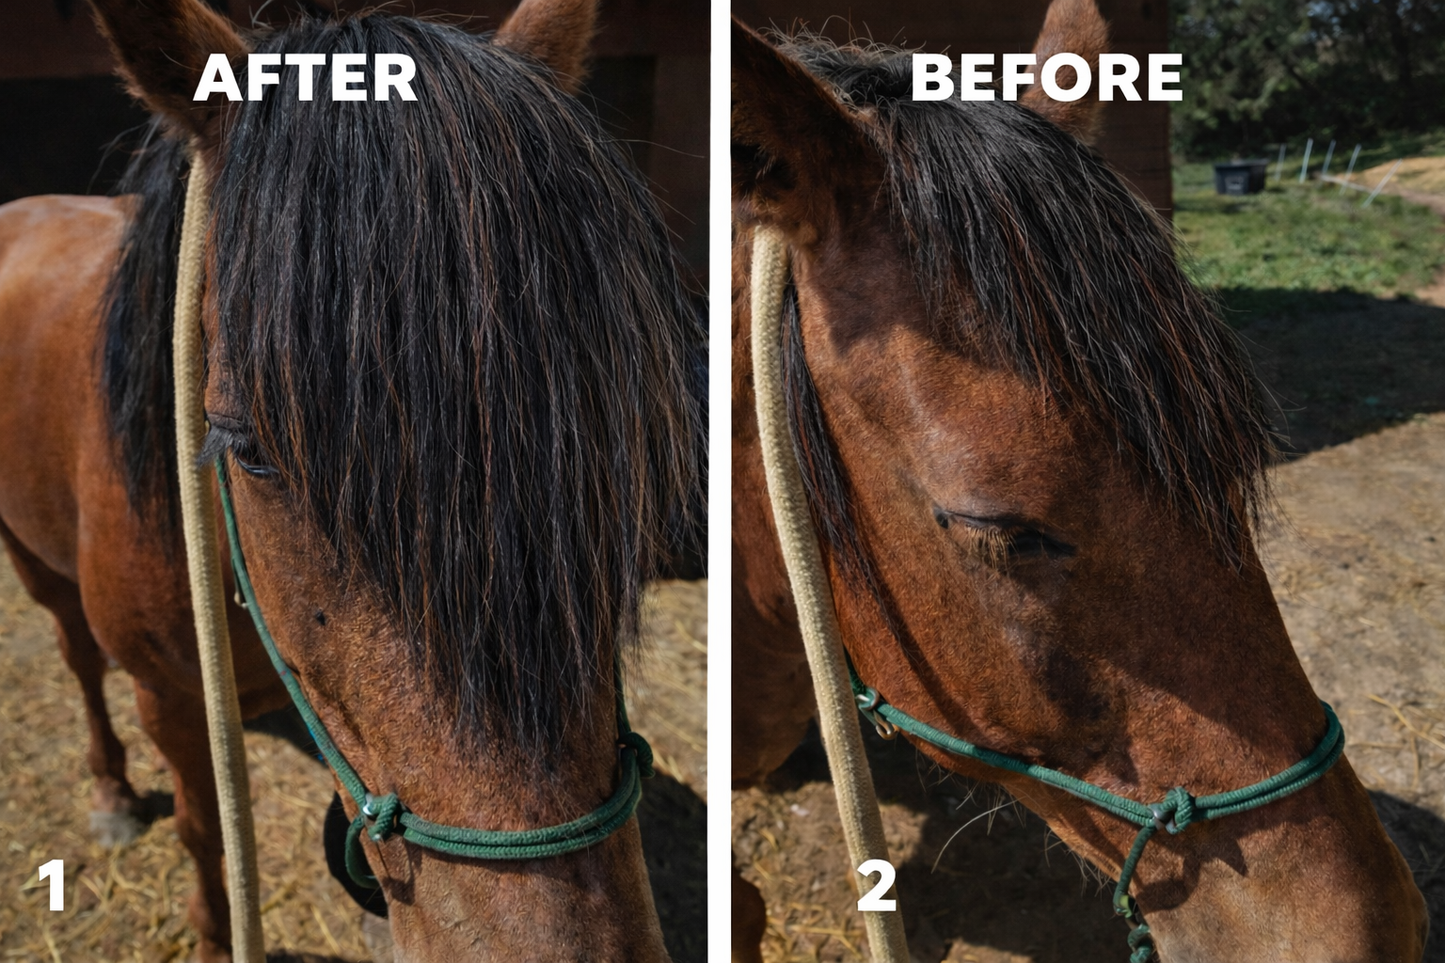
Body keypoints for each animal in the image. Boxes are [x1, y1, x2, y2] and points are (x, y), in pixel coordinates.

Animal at [0, 0, 702, 960]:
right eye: (251, 449)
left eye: (614, 420)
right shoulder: (170, 699)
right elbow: (203, 829)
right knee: (74, 653)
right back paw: (109, 790)